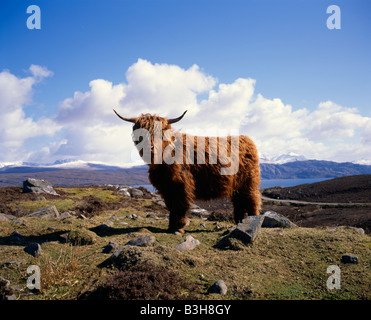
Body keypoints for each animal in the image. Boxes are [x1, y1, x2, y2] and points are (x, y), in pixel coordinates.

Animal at [113, 109, 262, 232]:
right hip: (236, 185)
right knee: (239, 202)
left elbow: (180, 205)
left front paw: (179, 228)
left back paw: (252, 221)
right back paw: (239, 221)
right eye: (141, 133)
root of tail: (247, 139)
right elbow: (171, 206)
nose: (150, 148)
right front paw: (171, 227)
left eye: (160, 133)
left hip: (249, 182)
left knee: (252, 200)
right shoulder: (166, 187)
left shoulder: (182, 185)